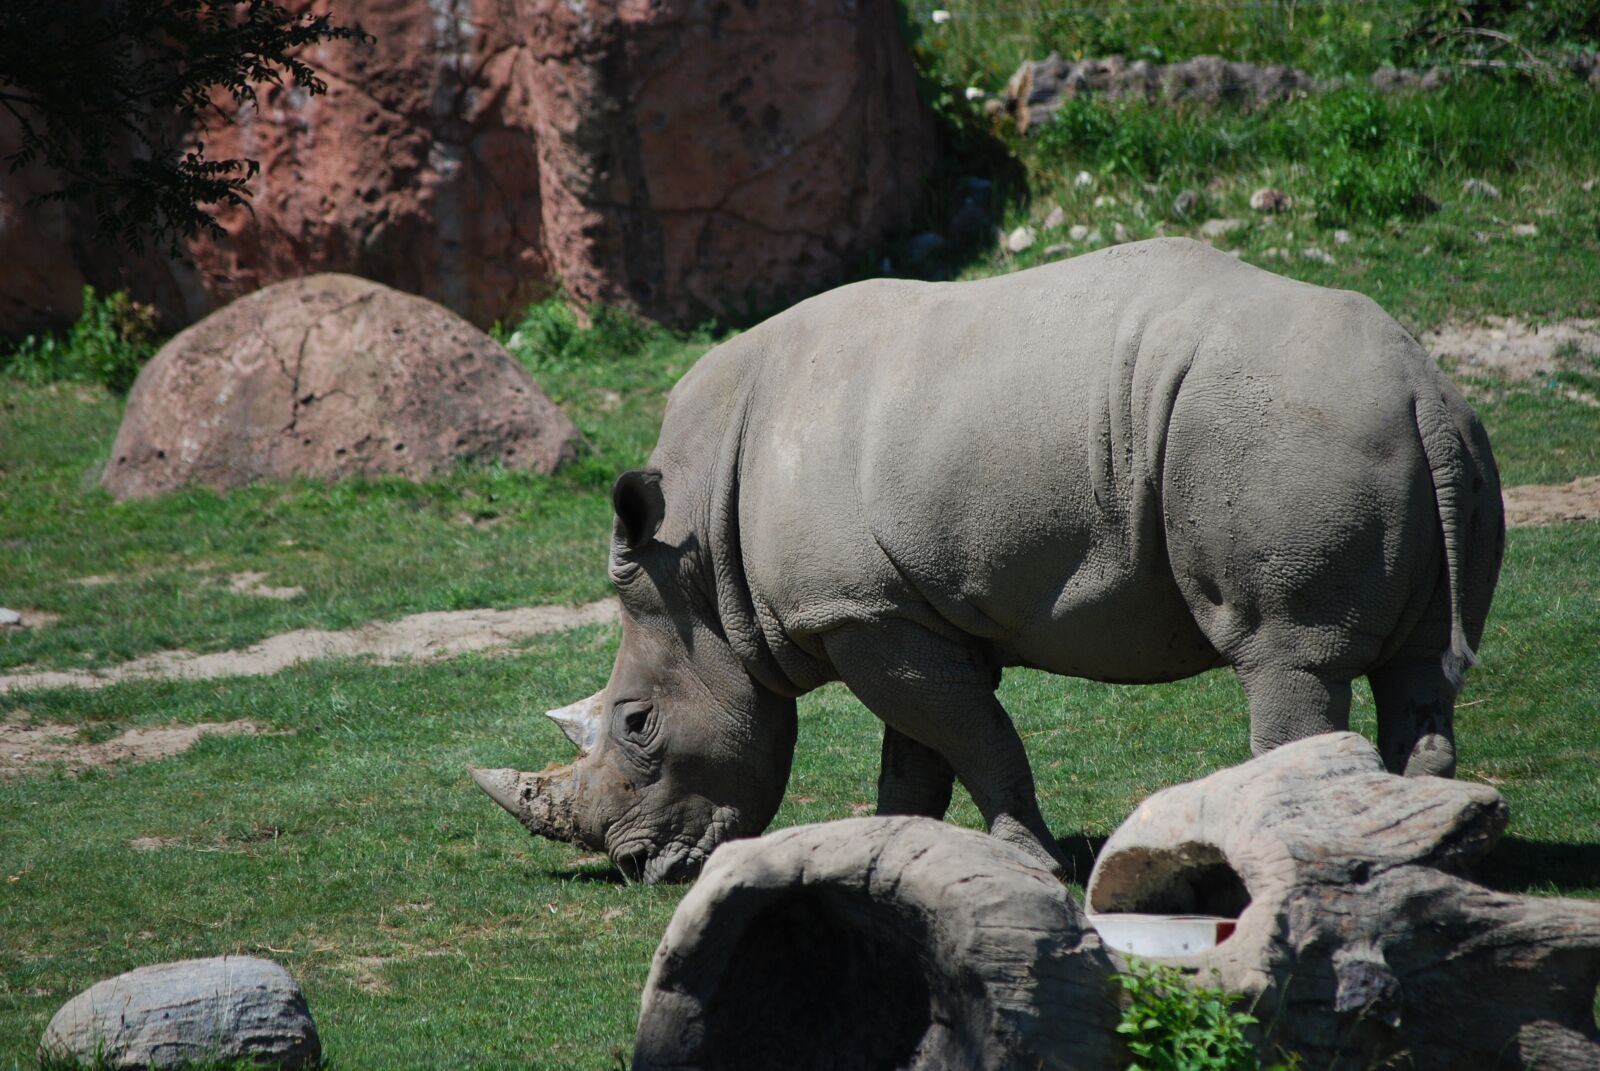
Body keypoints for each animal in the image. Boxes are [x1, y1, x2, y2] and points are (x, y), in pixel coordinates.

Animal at [472, 238, 1503, 883]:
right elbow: (919, 751)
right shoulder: (887, 609)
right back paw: (1424, 862)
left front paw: (1026, 862)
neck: (699, 562)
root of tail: (1420, 387)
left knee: (1285, 654)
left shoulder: (857, 609)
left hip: (1285, 437)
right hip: (1432, 442)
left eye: (637, 724)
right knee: (1423, 670)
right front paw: (894, 856)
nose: (641, 866)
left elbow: (971, 737)